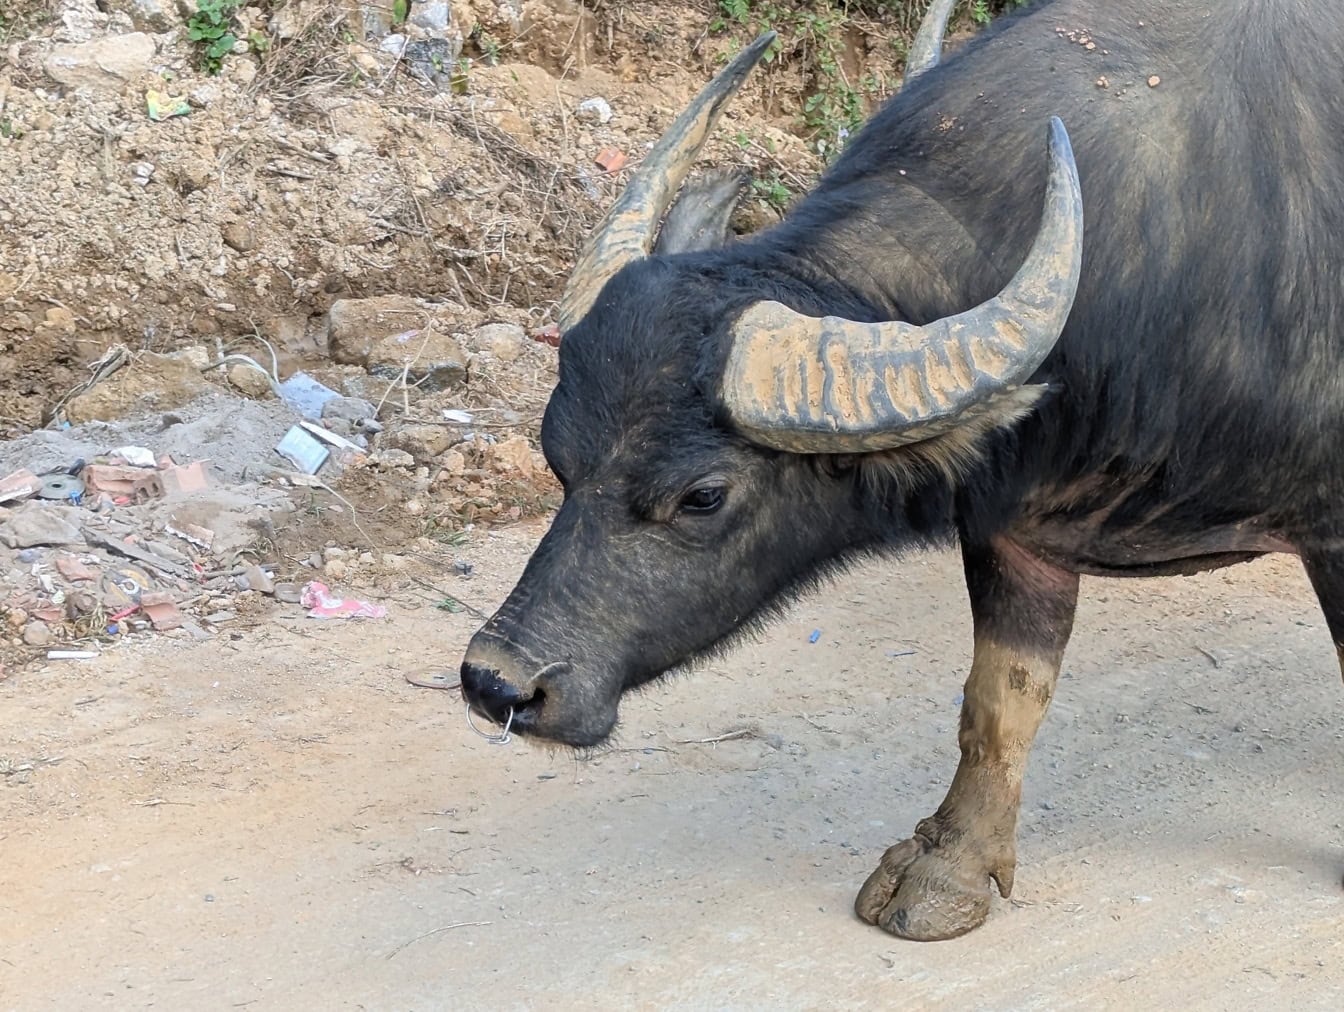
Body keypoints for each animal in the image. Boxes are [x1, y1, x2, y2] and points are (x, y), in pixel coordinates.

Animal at [459, 0, 1344, 940]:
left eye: (702, 496)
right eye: (556, 452)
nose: (497, 681)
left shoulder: (1334, 535)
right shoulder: (1016, 530)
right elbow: (1000, 701)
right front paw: (950, 866)